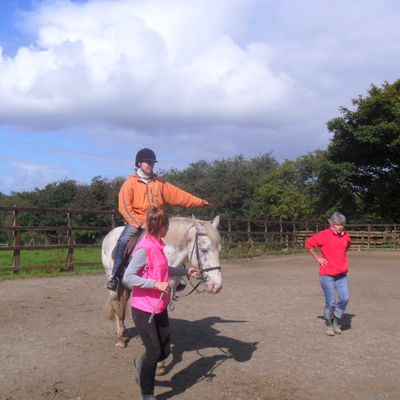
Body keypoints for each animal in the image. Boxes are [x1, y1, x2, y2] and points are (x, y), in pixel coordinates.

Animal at [101, 216, 222, 350]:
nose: (217, 286)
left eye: (219, 250)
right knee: (116, 305)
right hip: (113, 284)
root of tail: (110, 233)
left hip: (125, 287)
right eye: (204, 250)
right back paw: (120, 340)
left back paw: (122, 331)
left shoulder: (166, 293)